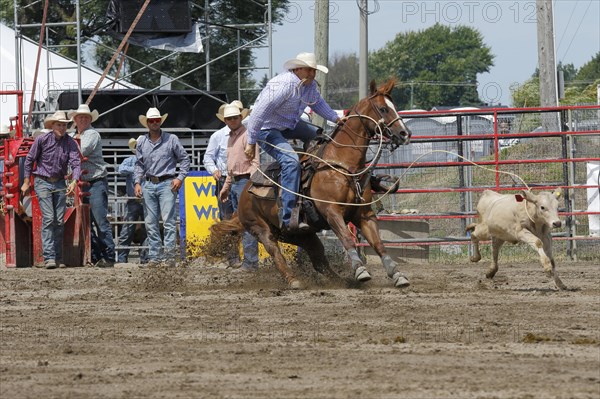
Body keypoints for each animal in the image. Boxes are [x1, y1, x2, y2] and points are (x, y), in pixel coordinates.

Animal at [211, 79, 412, 290]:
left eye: (393, 106)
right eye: (383, 109)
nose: (405, 133)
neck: (342, 166)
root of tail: (244, 192)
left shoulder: (364, 215)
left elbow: (379, 244)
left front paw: (397, 275)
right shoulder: (332, 212)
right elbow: (347, 238)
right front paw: (361, 271)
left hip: (300, 234)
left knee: (319, 259)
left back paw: (340, 281)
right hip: (261, 228)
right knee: (276, 253)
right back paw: (294, 280)